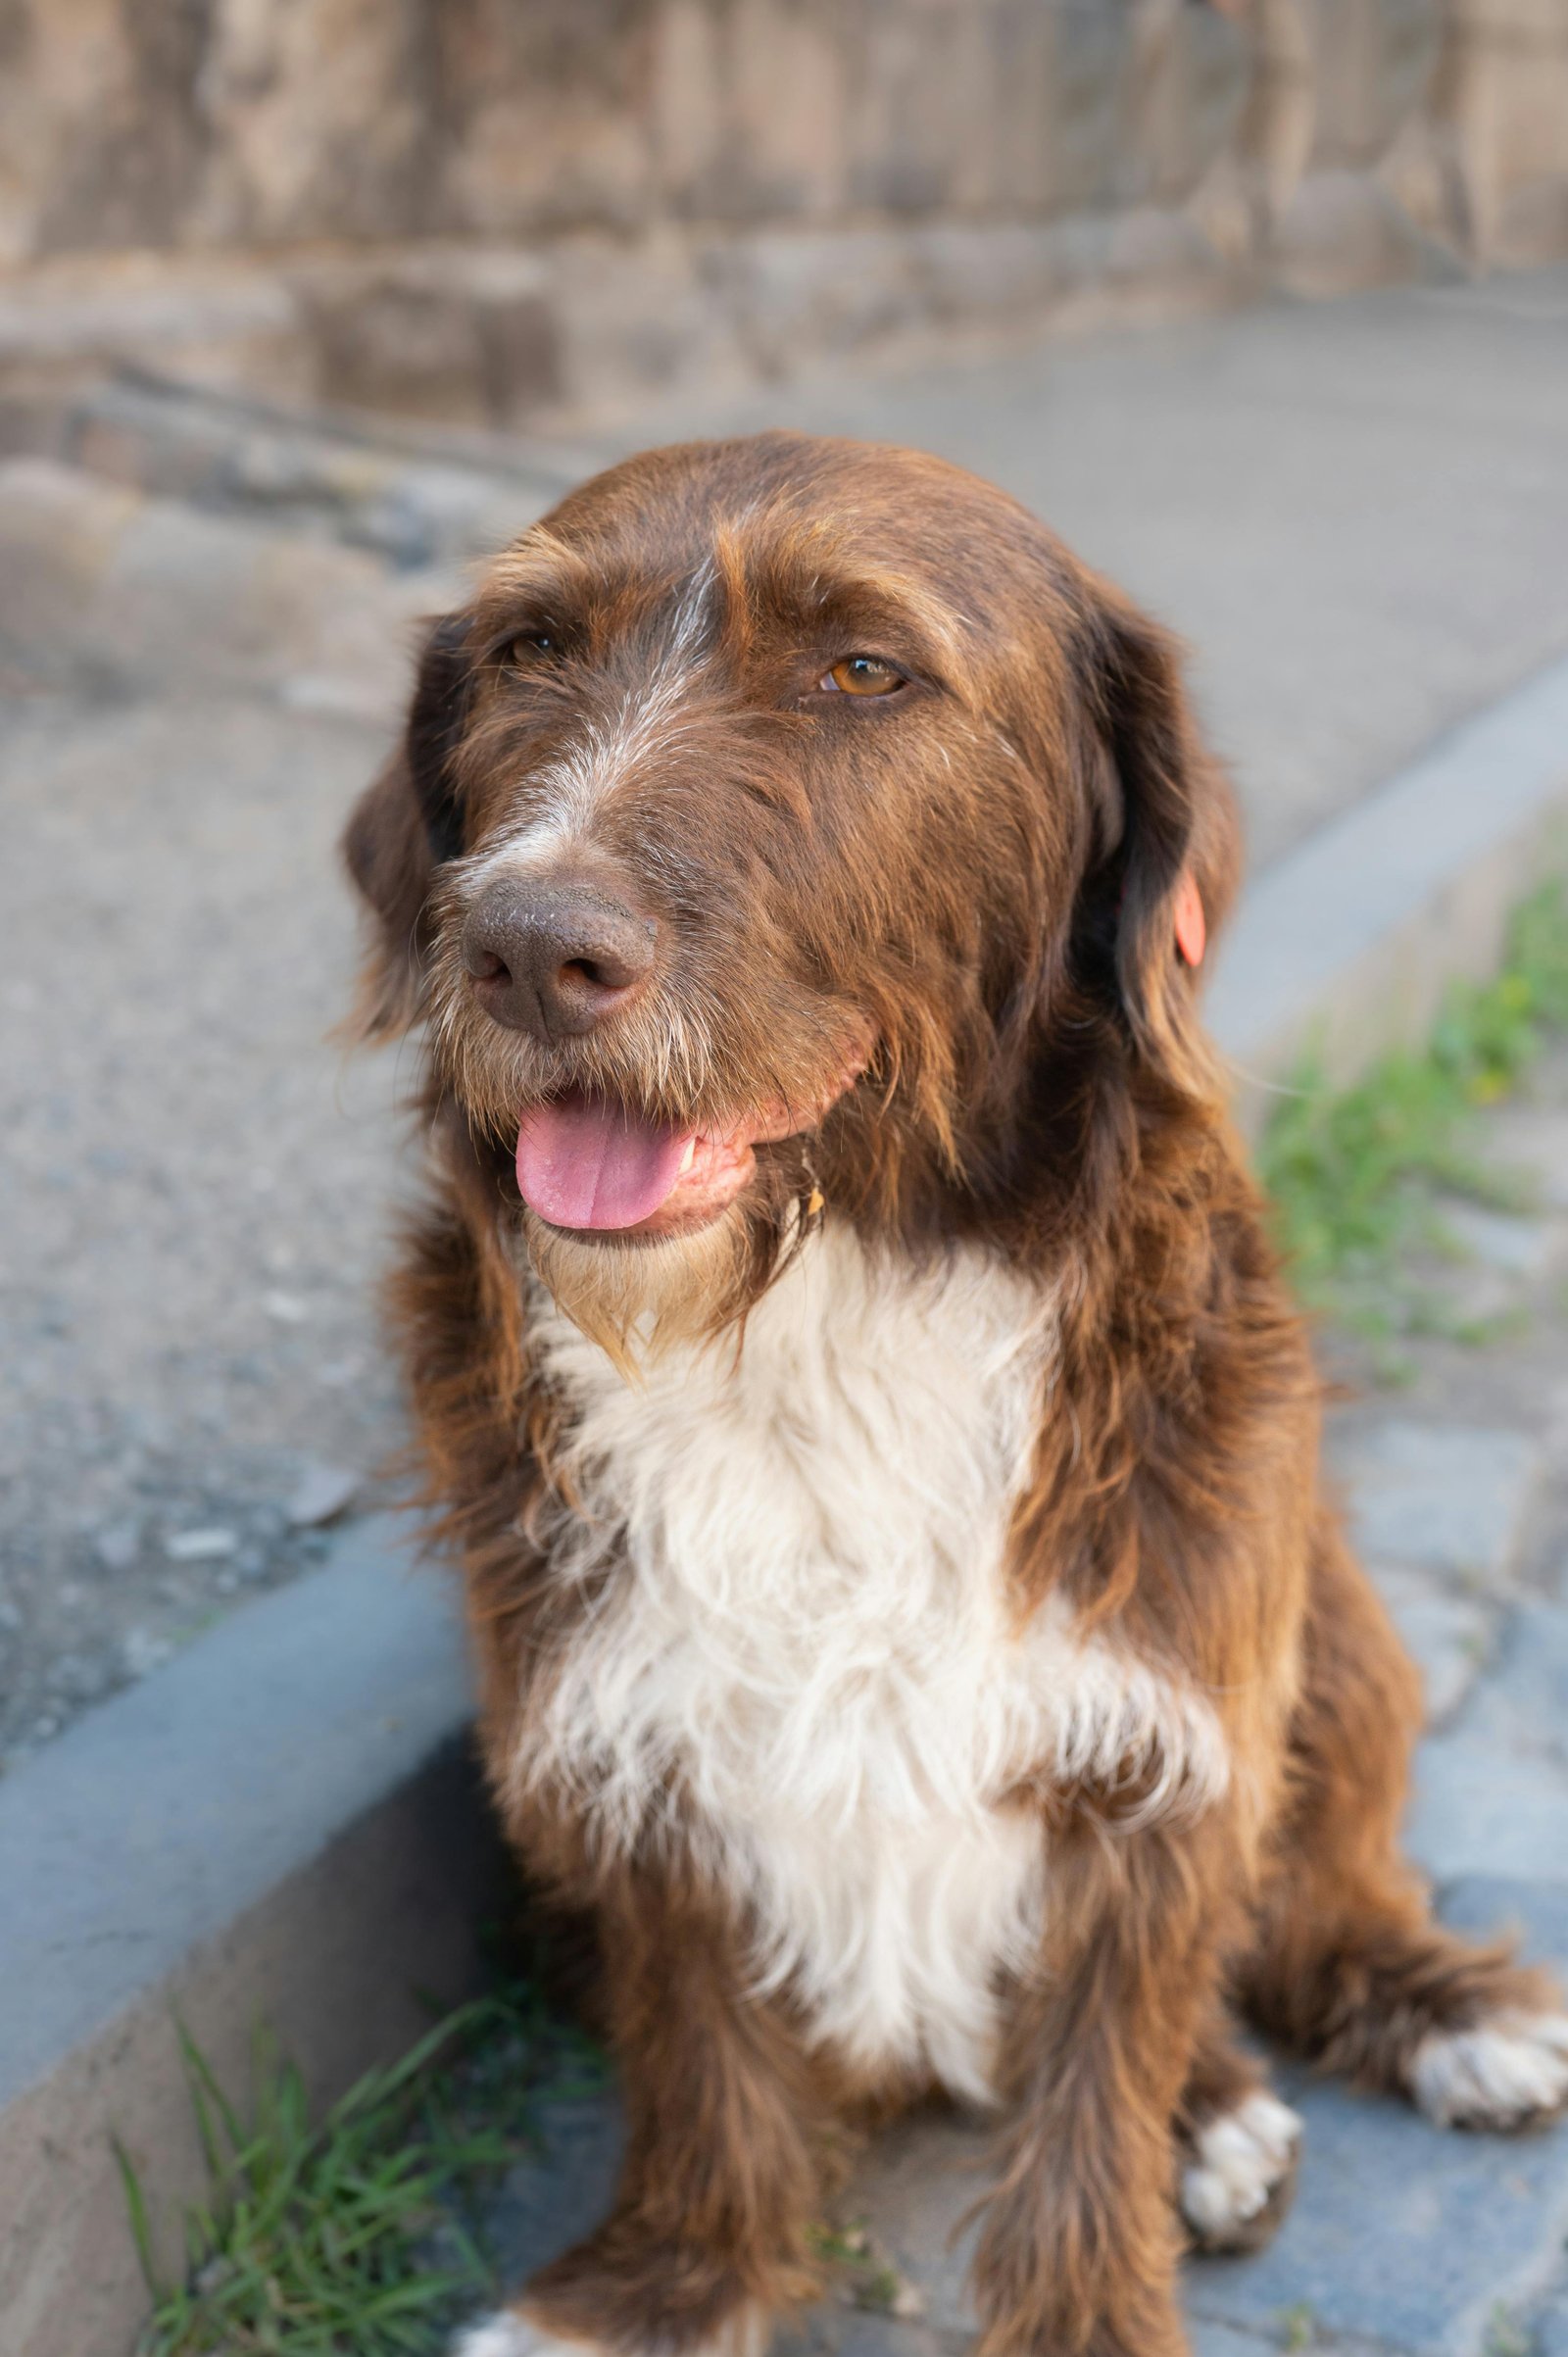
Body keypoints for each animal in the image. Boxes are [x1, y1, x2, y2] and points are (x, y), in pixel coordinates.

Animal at [341, 428, 1565, 2357]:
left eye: (863, 670)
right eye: (532, 652)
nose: (528, 943)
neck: (822, 1305)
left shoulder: (1161, 1726)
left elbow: (1097, 2094)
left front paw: (1093, 2296)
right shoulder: (619, 1745)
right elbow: (700, 2053)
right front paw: (656, 2290)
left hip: (1333, 1624)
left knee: (1330, 1885)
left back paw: (1426, 2017)